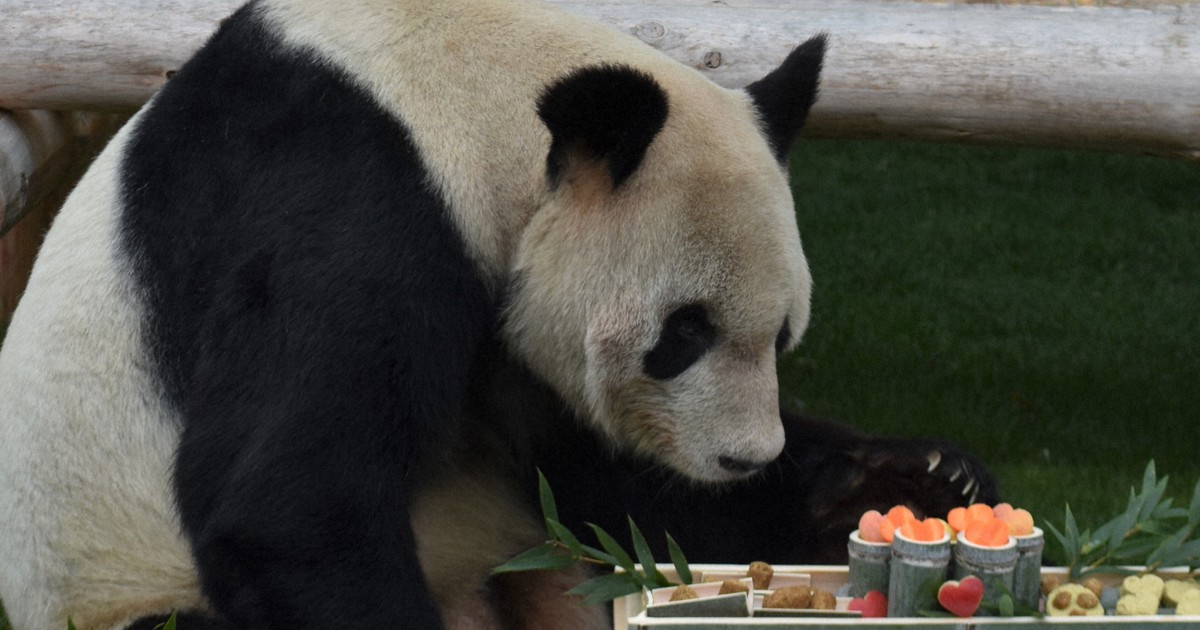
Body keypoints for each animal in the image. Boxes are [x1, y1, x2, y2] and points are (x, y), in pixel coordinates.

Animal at [0, 0, 828, 628]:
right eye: (685, 332)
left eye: (784, 334)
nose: (744, 459)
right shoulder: (358, 196)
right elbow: (289, 501)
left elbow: (601, 477)